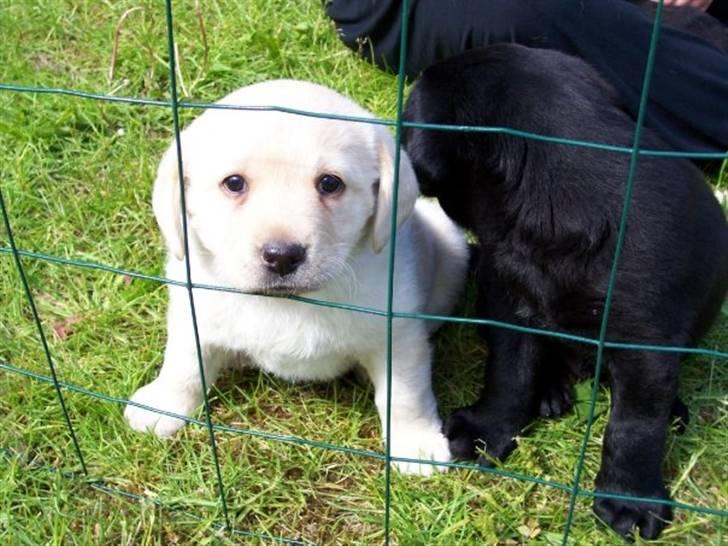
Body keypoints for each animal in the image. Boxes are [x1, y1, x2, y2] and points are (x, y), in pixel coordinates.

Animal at [124, 78, 466, 474]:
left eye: (331, 184)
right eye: (234, 183)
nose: (282, 256)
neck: (290, 303)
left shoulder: (400, 334)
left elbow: (405, 393)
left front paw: (416, 443)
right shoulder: (192, 307)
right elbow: (184, 363)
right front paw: (163, 404)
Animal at [404, 44, 728, 536]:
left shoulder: (646, 345)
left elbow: (635, 425)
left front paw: (629, 497)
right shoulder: (511, 300)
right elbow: (510, 371)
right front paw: (489, 428)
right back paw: (551, 389)